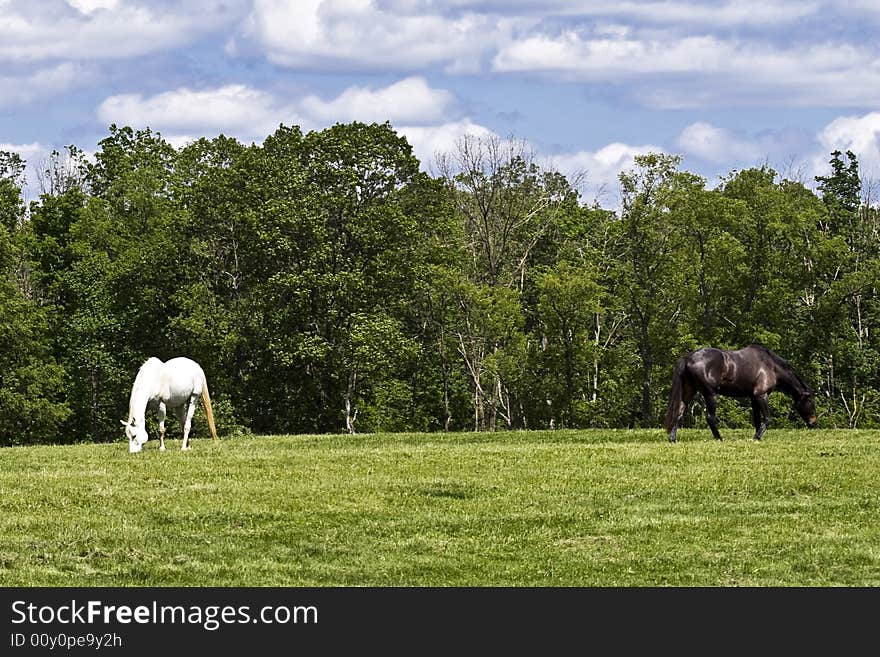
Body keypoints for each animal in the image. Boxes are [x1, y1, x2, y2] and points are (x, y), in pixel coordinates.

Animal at [668, 346, 820, 444]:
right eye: (810, 402)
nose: (814, 422)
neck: (771, 366)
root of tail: (688, 358)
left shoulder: (753, 398)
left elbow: (757, 419)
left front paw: (758, 436)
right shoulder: (761, 395)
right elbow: (767, 418)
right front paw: (757, 437)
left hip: (688, 392)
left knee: (679, 412)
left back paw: (672, 439)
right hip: (710, 395)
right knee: (710, 417)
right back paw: (719, 439)